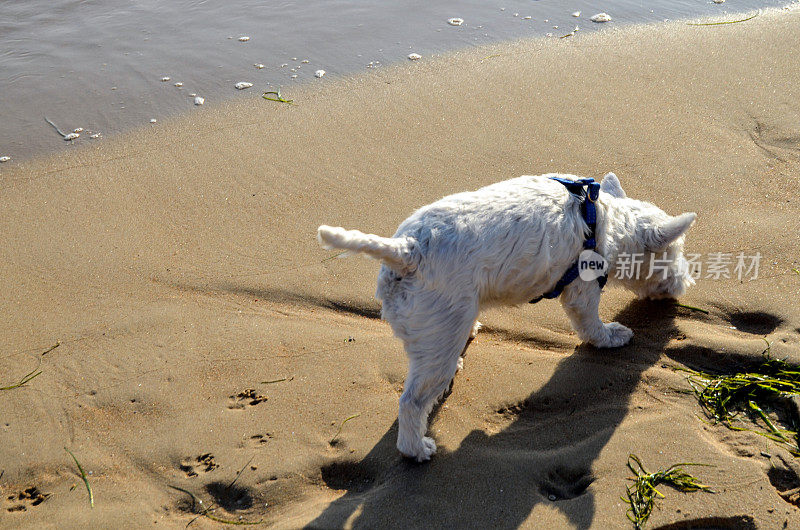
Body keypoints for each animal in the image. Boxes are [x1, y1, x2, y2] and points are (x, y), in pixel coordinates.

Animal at [318, 172, 692, 458]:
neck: (603, 220)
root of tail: (407, 250)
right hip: (439, 329)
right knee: (411, 402)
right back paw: (418, 449)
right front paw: (613, 336)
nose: (686, 283)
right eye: (674, 253)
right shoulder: (582, 289)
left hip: (439, 325)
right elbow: (591, 325)